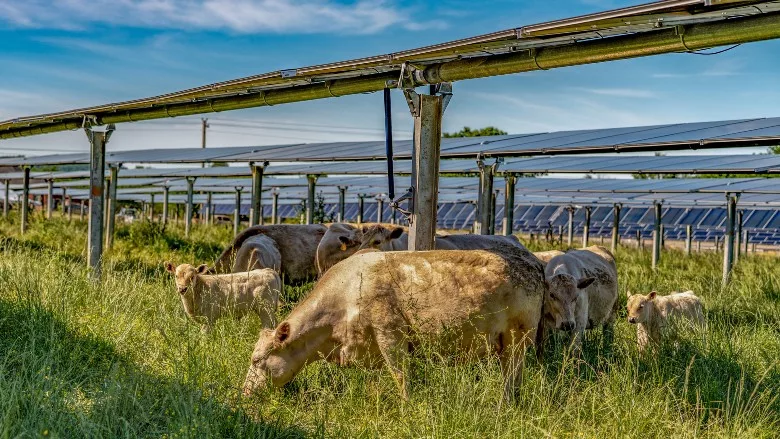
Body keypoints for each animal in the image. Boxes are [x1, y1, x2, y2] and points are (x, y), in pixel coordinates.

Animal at [242, 244, 546, 402]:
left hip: (517, 338)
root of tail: (531, 260)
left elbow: (401, 377)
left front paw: (406, 407)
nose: (244, 393)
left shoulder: (391, 335)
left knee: (512, 377)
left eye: (257, 360)